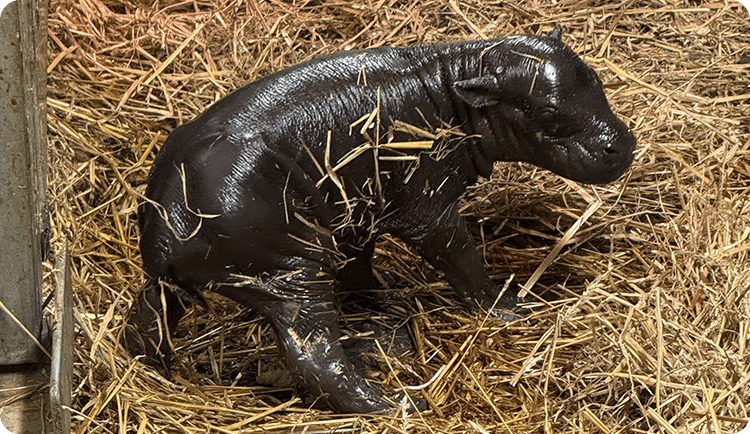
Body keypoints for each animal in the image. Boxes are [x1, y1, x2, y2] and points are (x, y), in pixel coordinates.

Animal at [123, 26, 635, 413]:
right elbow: (462, 260)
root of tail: (166, 227)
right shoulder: (427, 209)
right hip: (291, 275)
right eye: (546, 110)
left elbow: (359, 264)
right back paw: (397, 403)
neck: (454, 84)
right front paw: (509, 307)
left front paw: (384, 297)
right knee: (314, 357)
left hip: (190, 282)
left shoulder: (359, 209)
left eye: (595, 77)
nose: (623, 145)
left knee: (148, 318)